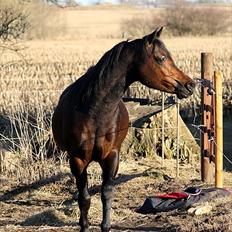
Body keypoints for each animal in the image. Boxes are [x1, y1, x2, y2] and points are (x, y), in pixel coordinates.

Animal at [51, 27, 195, 232]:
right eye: (161, 58)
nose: (190, 85)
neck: (93, 112)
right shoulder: (77, 160)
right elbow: (84, 199)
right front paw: (84, 226)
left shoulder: (112, 156)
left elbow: (106, 193)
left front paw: (105, 226)